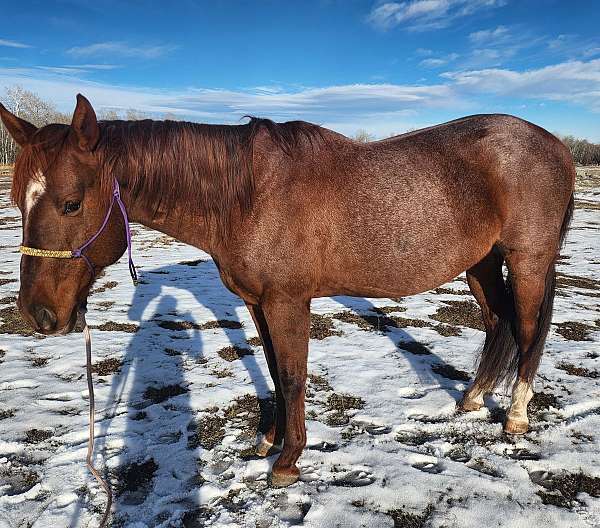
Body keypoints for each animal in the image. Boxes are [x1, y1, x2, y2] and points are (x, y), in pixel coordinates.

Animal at [0, 95, 576, 486]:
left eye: (71, 204)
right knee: (499, 324)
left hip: (527, 260)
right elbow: (276, 371)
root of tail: (557, 145)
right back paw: (472, 401)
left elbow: (295, 376)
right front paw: (268, 442)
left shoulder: (287, 301)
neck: (246, 196)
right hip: (480, 263)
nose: (38, 314)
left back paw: (516, 417)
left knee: (529, 331)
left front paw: (290, 461)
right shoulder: (258, 302)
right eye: (16, 200)